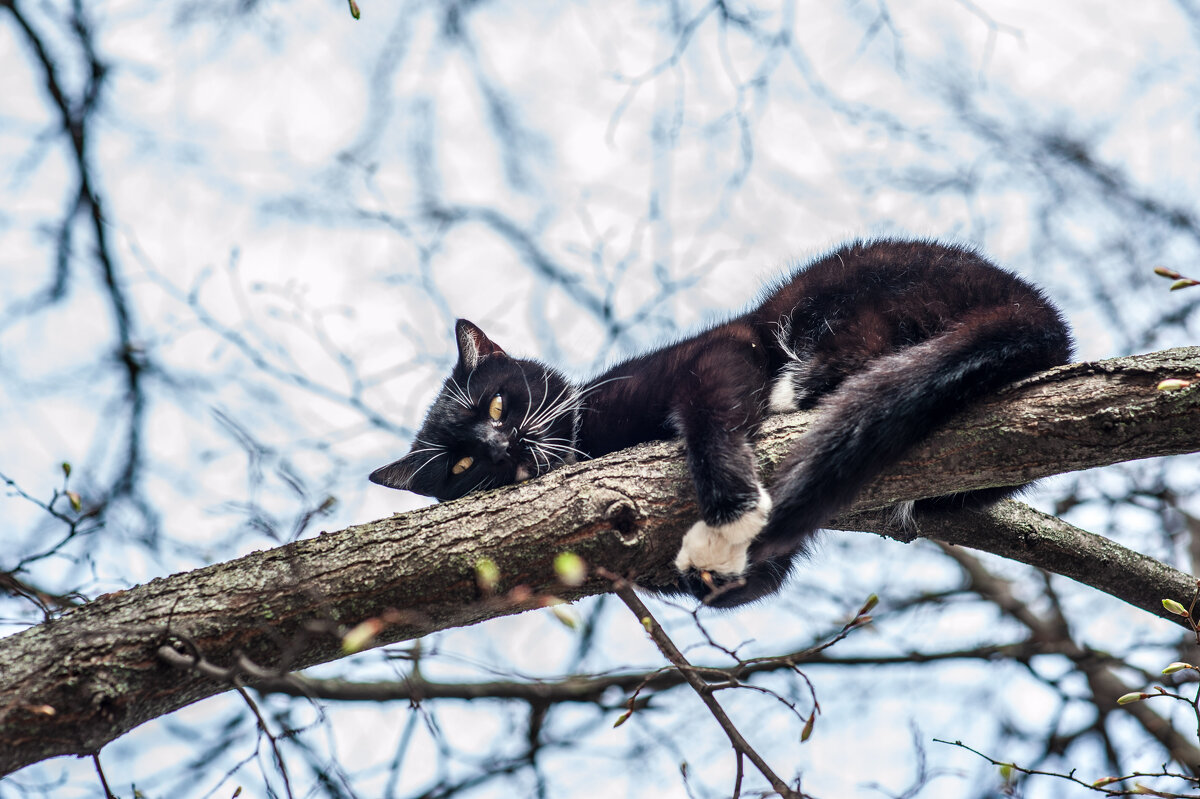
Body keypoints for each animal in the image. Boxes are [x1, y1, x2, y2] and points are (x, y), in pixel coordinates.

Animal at [369, 236, 1075, 604]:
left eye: (495, 404)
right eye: (461, 465)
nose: (501, 444)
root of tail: (1041, 314)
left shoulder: (718, 353)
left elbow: (710, 414)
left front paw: (730, 511)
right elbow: (754, 582)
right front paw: (719, 562)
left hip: (853, 286)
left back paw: (798, 386)